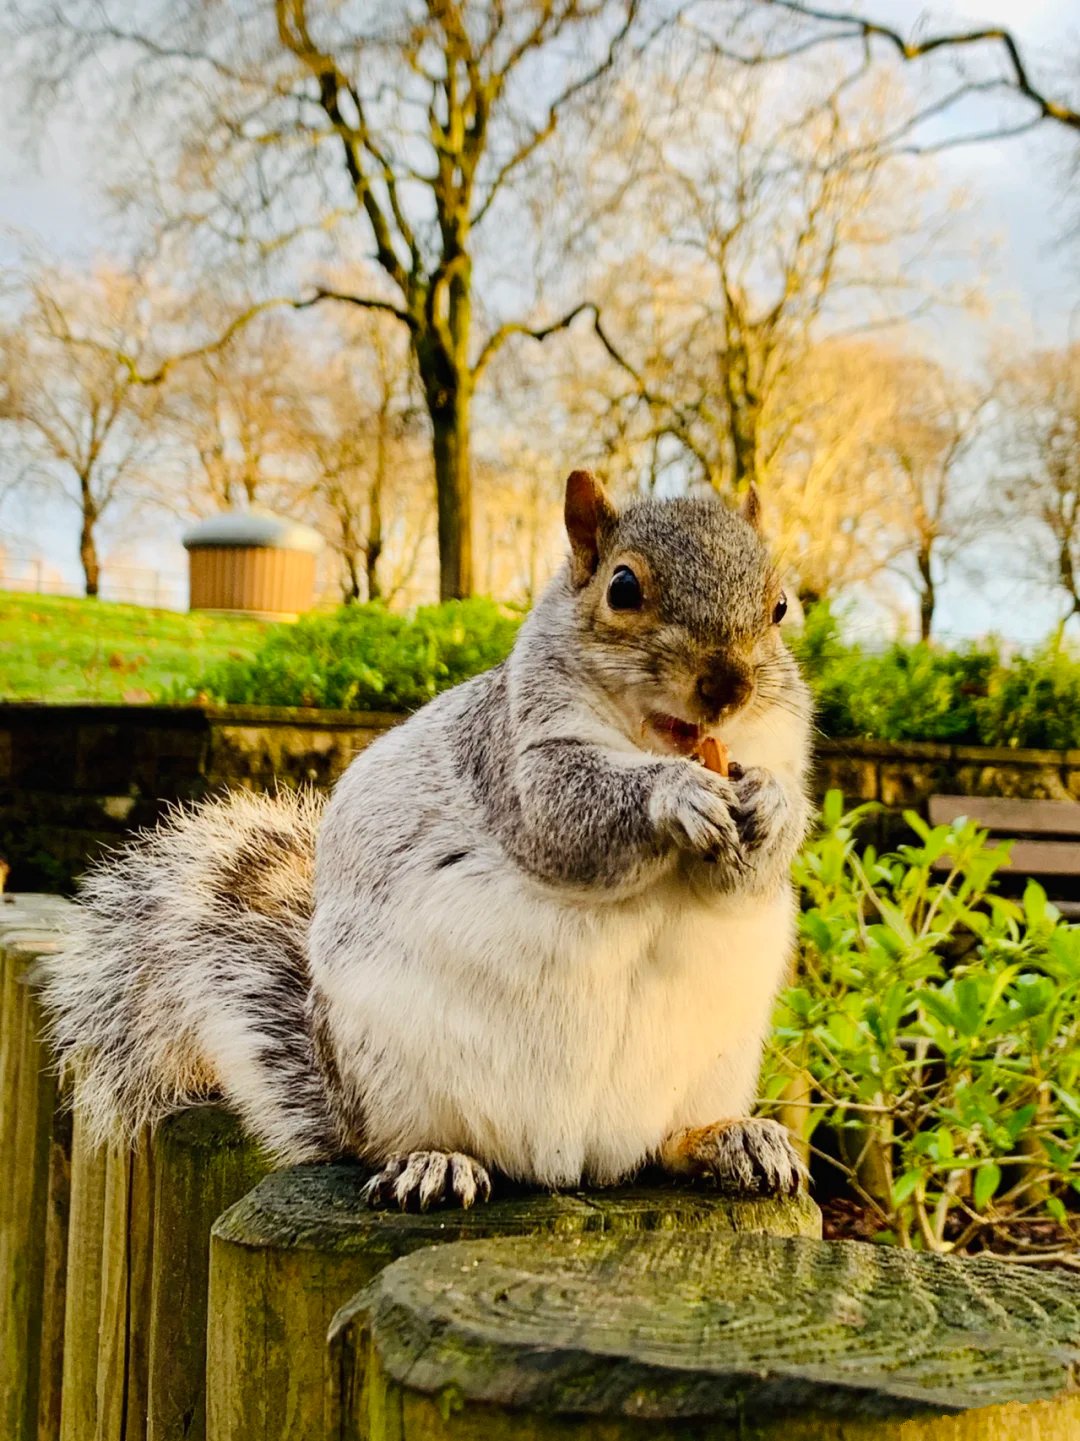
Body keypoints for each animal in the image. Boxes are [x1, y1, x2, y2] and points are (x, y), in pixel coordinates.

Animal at [46, 469, 813, 1204]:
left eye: (780, 606)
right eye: (623, 587)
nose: (729, 685)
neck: (656, 740)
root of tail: (572, 1164)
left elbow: (760, 859)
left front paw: (772, 809)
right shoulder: (515, 759)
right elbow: (566, 815)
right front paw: (675, 794)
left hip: (715, 1063)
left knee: (665, 1144)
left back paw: (732, 1139)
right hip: (390, 1071)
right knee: (399, 1145)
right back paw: (435, 1164)